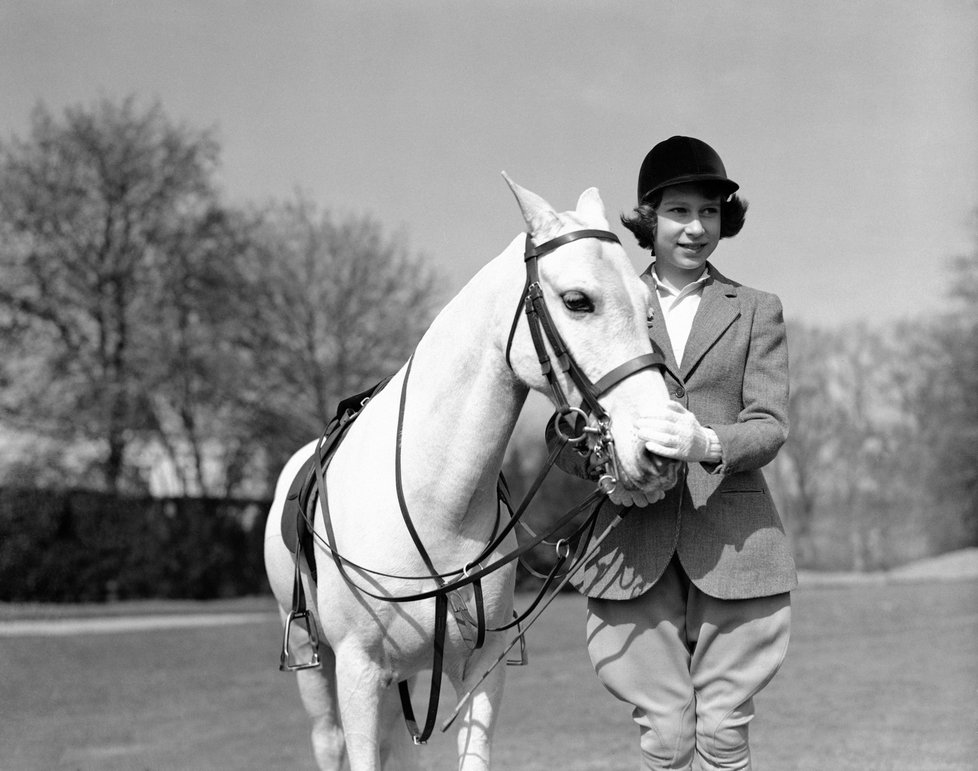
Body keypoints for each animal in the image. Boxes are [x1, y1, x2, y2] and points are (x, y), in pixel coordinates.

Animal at [266, 176, 680, 771]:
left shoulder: (479, 672)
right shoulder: (357, 672)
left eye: (648, 310)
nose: (658, 448)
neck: (436, 504)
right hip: (316, 663)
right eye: (578, 301)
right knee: (328, 740)